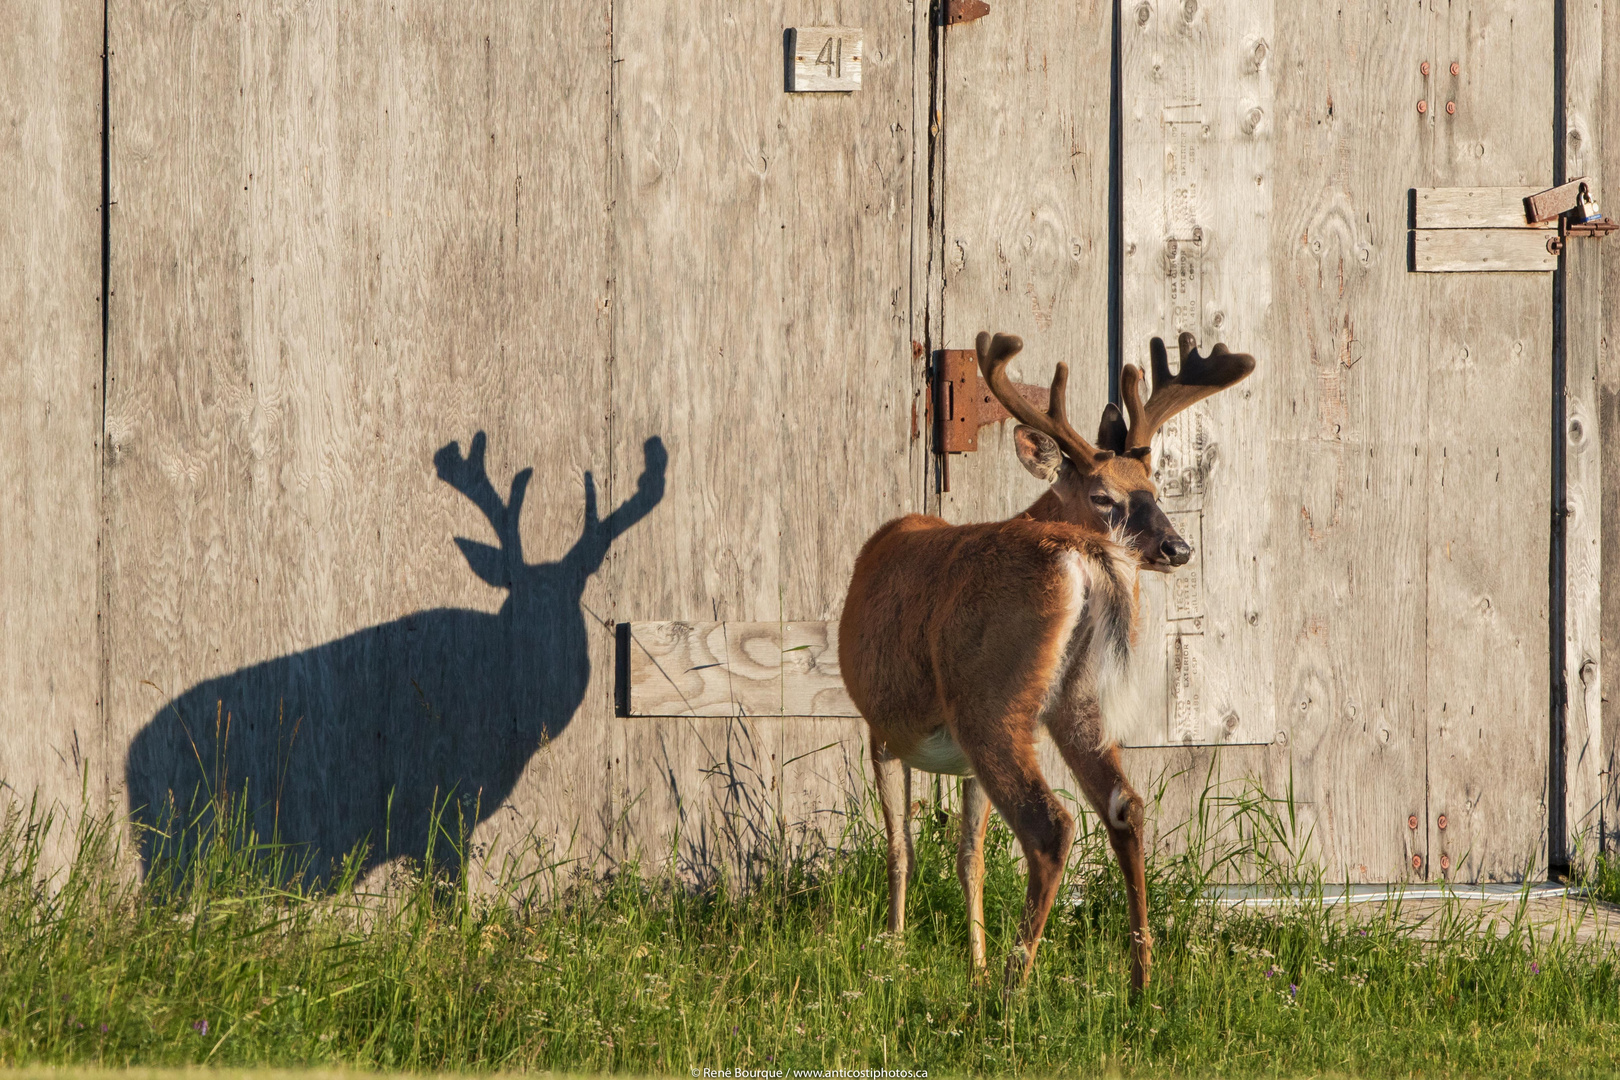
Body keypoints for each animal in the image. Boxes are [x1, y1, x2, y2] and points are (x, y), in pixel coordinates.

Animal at [835, 330, 1250, 990]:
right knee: (1126, 807)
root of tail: (1083, 555)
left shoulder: (881, 725)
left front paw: (896, 956)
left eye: (1157, 492)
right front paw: (971, 963)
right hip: (1074, 698)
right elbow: (969, 857)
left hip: (990, 701)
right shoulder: (954, 760)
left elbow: (902, 845)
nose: (1178, 547)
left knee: (1051, 825)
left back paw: (1011, 988)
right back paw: (1140, 981)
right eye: (1105, 495)